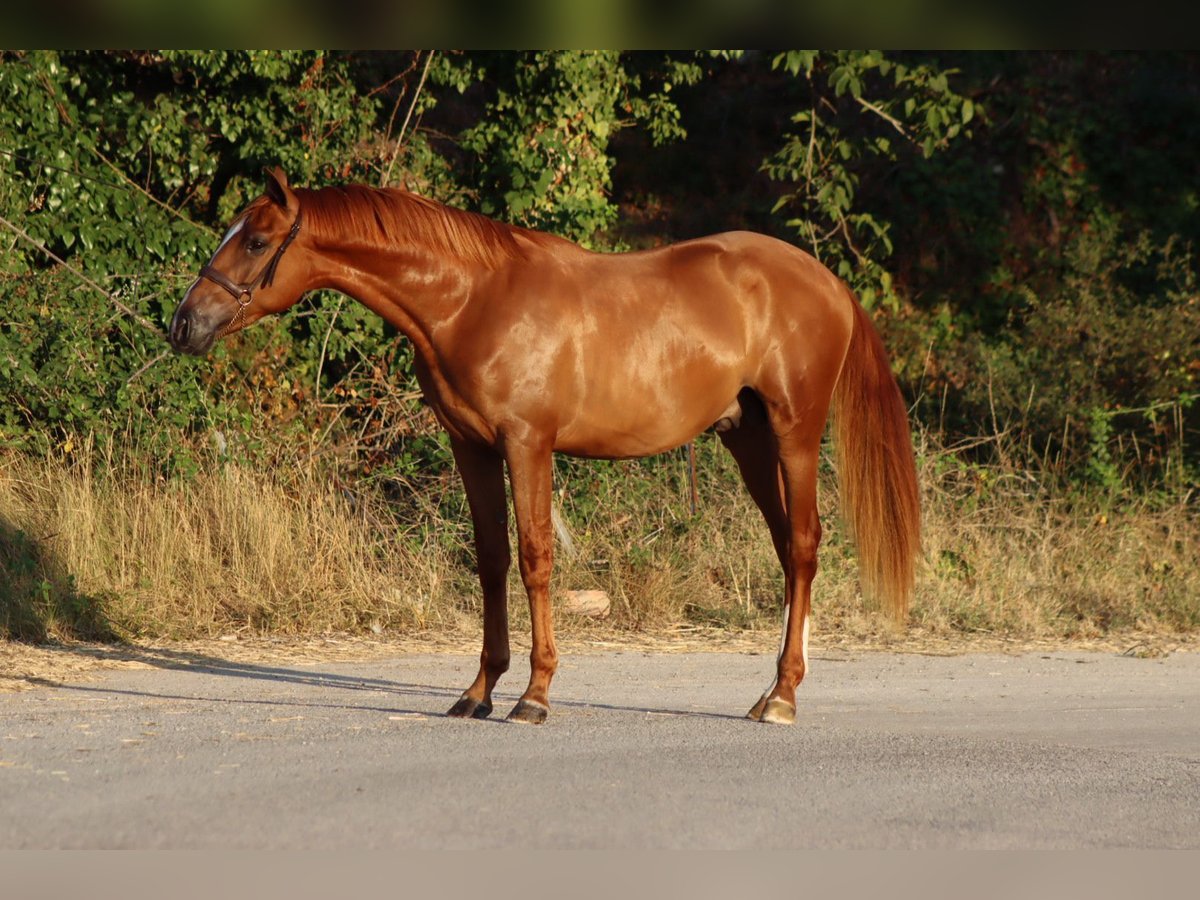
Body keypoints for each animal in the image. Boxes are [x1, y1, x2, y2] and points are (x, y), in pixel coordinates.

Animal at [169, 169, 916, 729]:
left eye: (256, 239)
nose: (185, 324)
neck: (473, 299)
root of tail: (828, 282)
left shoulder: (528, 444)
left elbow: (534, 559)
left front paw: (534, 696)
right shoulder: (470, 446)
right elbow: (491, 559)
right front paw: (478, 692)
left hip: (794, 434)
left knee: (805, 545)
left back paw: (784, 697)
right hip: (747, 437)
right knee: (787, 548)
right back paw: (771, 691)